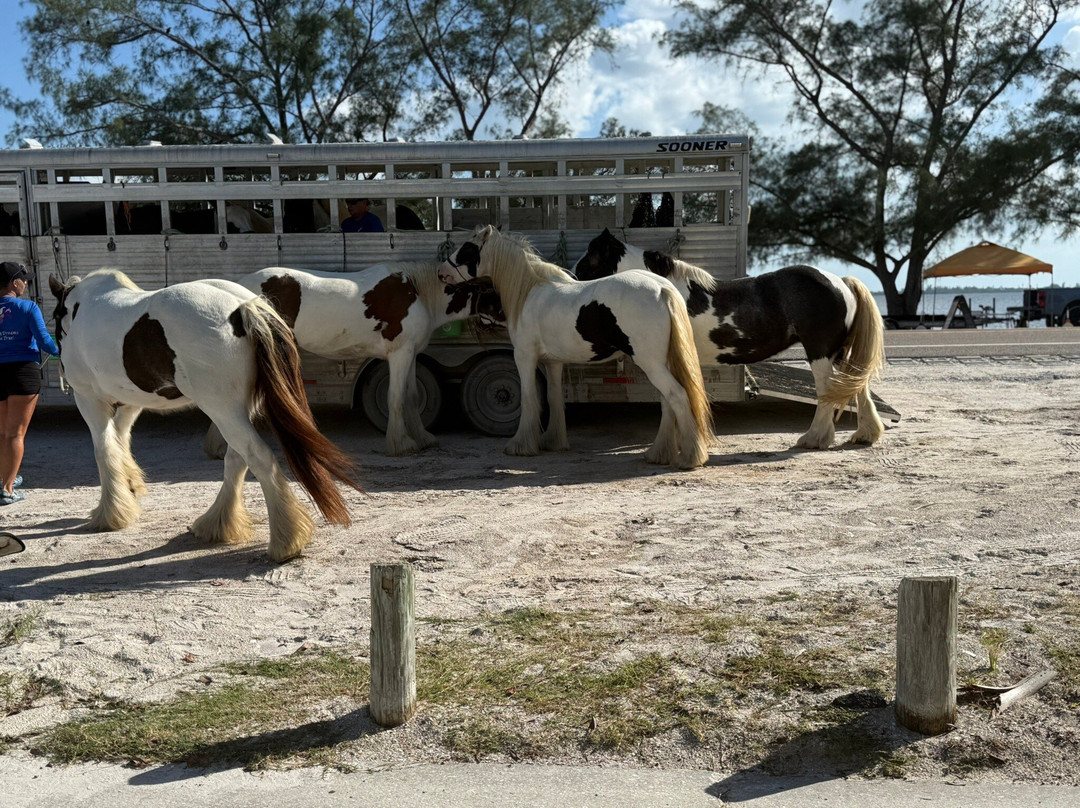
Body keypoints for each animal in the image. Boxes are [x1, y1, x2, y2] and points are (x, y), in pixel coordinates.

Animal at [49, 269, 361, 562]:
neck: (81, 308)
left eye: (55, 314)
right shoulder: (133, 401)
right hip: (237, 409)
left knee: (257, 457)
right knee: (237, 459)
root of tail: (243, 307)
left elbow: (104, 449)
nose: (59, 368)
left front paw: (111, 513)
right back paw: (217, 525)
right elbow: (120, 438)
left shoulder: (89, 398)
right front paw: (130, 488)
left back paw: (286, 541)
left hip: (222, 409)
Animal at [203, 263, 504, 457]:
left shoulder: (410, 354)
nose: (506, 317)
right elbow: (396, 398)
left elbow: (411, 397)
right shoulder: (399, 354)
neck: (419, 295)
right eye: (493, 292)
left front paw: (422, 438)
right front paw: (401, 444)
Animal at [439, 225, 713, 469]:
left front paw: (520, 446)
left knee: (678, 396)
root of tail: (662, 288)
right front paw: (553, 442)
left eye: (467, 249)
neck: (530, 292)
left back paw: (690, 458)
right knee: (668, 402)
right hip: (660, 363)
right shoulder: (552, 361)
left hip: (651, 364)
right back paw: (659, 454)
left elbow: (529, 398)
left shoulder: (524, 357)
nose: (442, 273)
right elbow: (553, 397)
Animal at [572, 229, 886, 449]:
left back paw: (813, 439)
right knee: (855, 386)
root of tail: (841, 281)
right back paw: (864, 434)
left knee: (827, 392)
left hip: (819, 352)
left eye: (589, 259)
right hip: (840, 353)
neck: (664, 290)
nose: (573, 279)